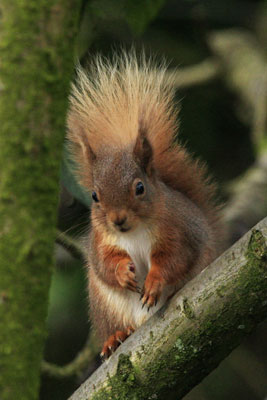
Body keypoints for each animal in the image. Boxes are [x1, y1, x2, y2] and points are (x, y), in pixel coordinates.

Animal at [67, 50, 224, 360]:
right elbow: (104, 263)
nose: (118, 220)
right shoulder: (102, 240)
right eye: (94, 196)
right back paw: (115, 337)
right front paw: (122, 273)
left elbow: (174, 258)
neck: (135, 233)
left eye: (139, 188)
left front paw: (153, 282)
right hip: (105, 306)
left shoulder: (178, 230)